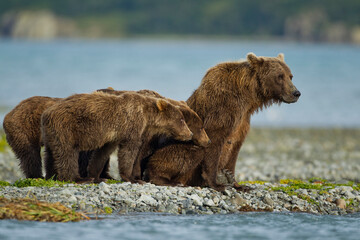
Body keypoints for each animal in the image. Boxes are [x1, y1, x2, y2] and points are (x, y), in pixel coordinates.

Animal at [40, 91, 194, 182]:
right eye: (181, 120)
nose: (190, 134)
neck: (147, 116)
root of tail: (47, 112)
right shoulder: (132, 125)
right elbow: (128, 151)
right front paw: (131, 178)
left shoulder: (113, 136)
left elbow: (102, 153)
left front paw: (96, 175)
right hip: (66, 127)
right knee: (67, 153)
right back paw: (76, 178)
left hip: (51, 133)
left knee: (50, 153)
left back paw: (51, 175)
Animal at [146, 52, 300, 191]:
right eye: (279, 76)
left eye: (290, 76)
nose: (296, 93)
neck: (247, 98)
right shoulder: (221, 110)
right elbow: (214, 142)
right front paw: (217, 184)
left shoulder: (242, 121)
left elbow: (234, 149)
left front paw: (238, 184)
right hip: (168, 151)